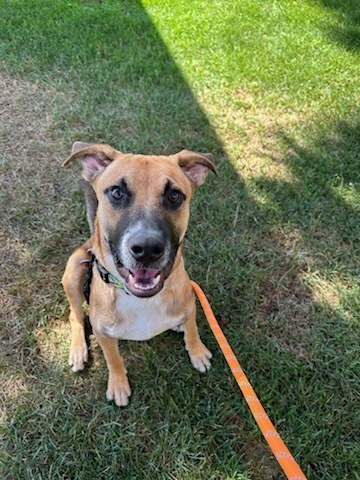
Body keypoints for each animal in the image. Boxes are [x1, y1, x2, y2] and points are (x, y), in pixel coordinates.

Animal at [61, 142, 217, 404]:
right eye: (117, 192)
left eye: (174, 195)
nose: (147, 249)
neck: (141, 300)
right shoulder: (103, 334)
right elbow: (113, 359)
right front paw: (118, 384)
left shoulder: (190, 304)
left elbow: (192, 330)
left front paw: (197, 352)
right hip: (74, 271)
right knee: (76, 315)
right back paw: (78, 350)